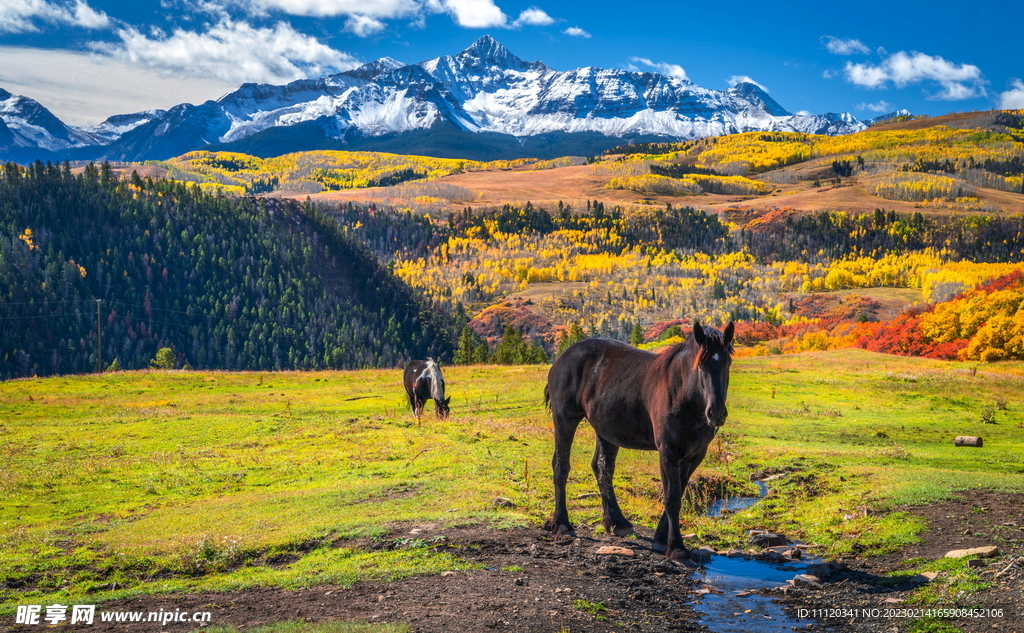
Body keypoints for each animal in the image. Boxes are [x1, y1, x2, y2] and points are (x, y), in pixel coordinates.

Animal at [544, 323, 737, 561]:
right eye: (701, 364)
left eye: (727, 363)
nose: (716, 413)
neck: (683, 394)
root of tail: (563, 357)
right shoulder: (668, 452)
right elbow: (672, 497)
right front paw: (677, 548)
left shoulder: (695, 454)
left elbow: (679, 491)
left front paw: (661, 539)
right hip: (565, 419)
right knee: (561, 467)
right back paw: (563, 526)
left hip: (606, 430)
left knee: (602, 469)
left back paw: (619, 523)